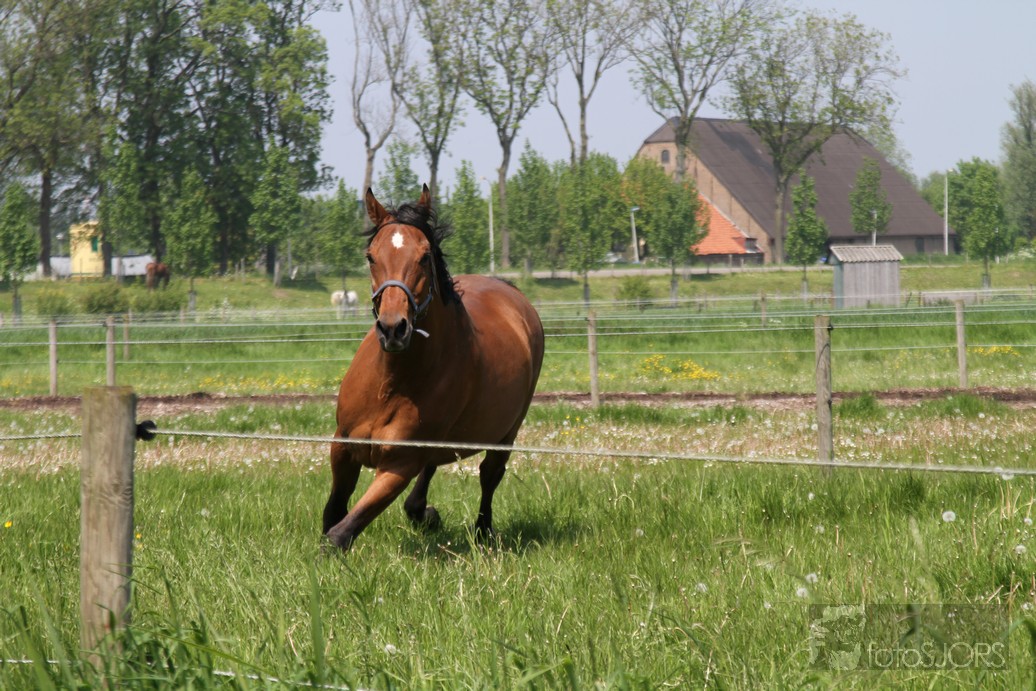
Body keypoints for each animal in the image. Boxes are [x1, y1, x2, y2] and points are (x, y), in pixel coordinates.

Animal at [323, 186, 545, 551]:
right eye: (371, 256)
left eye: (425, 256)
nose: (393, 329)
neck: (391, 383)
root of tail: (510, 291)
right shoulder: (343, 447)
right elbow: (333, 512)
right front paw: (427, 515)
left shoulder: (400, 464)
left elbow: (341, 532)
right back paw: (424, 514)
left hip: (507, 433)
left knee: (489, 475)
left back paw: (481, 531)